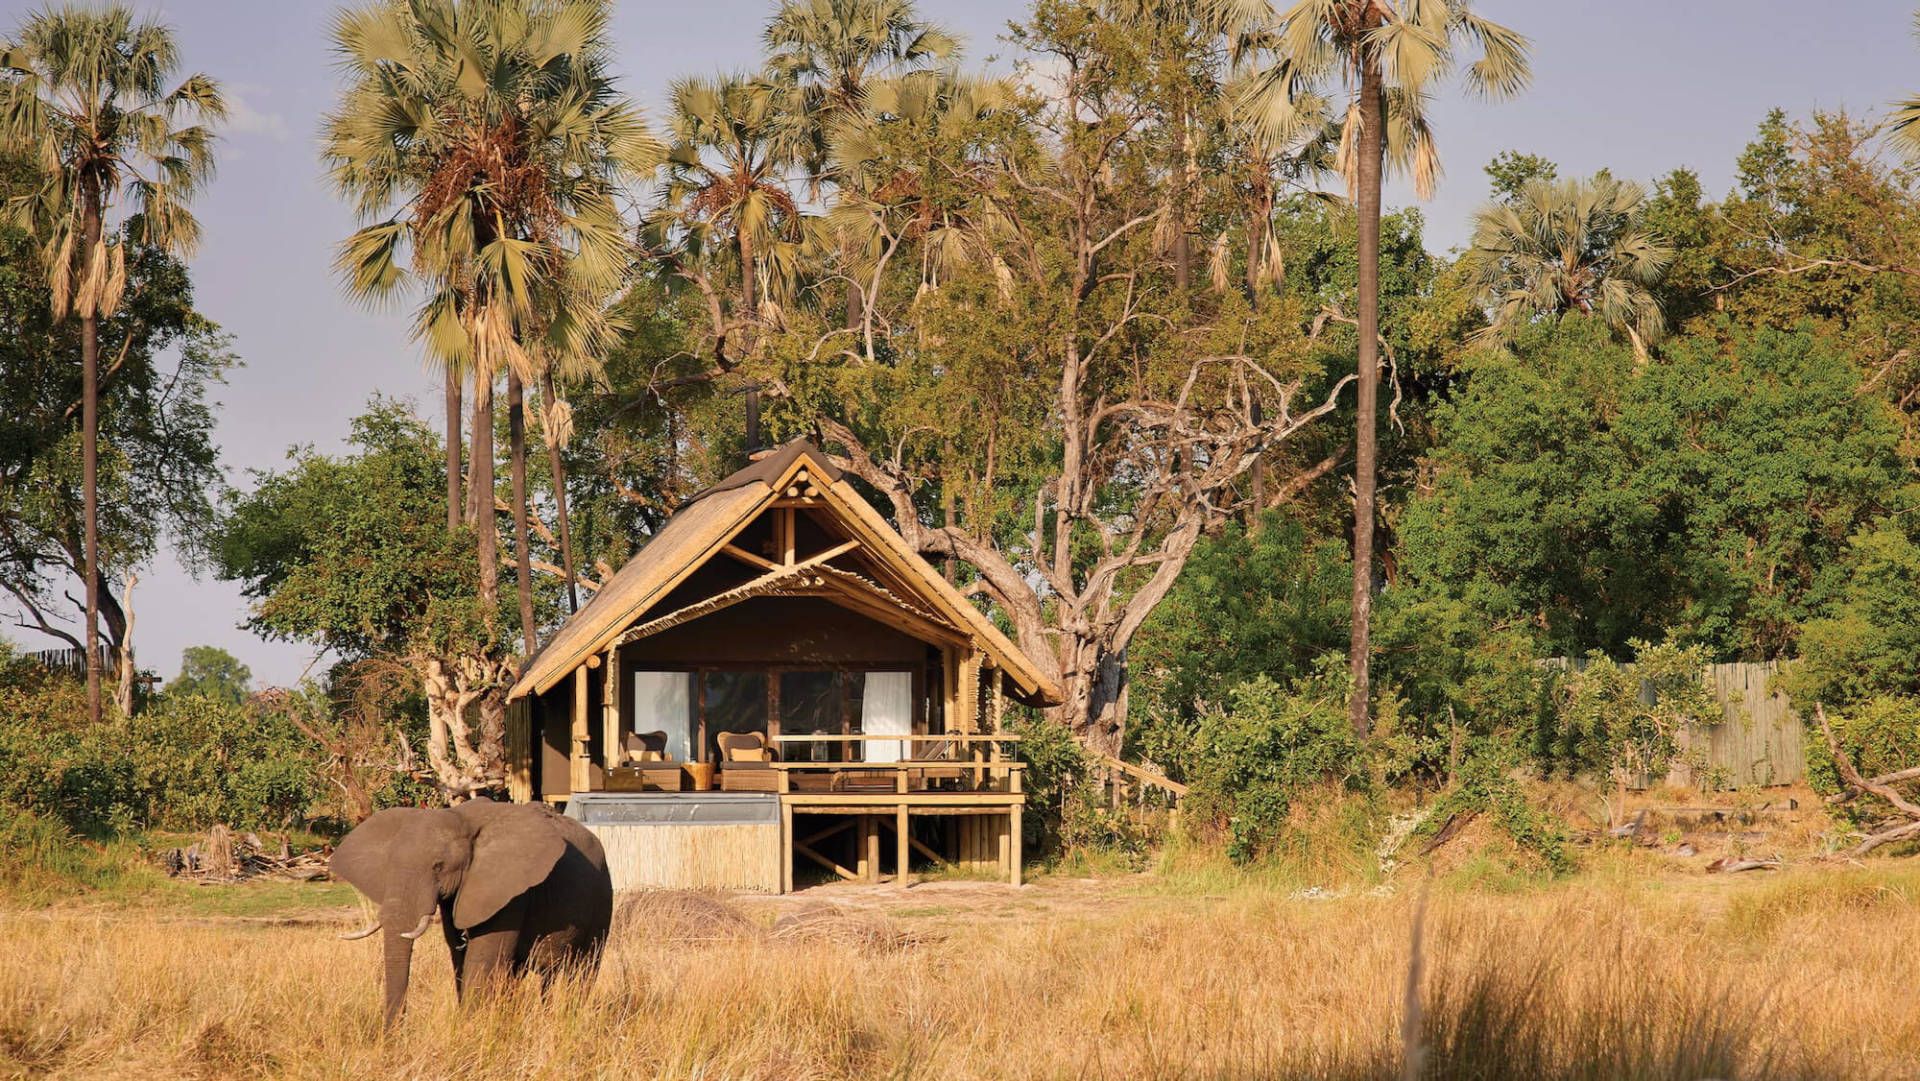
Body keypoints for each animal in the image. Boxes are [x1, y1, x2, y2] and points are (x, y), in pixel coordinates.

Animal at [330, 798, 614, 1029]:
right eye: (389, 864)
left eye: (438, 866)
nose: (394, 1038)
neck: (460, 818)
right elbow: (460, 956)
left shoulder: (509, 890)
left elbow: (482, 959)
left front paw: (470, 1030)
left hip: (602, 895)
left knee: (584, 969)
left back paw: (569, 1020)